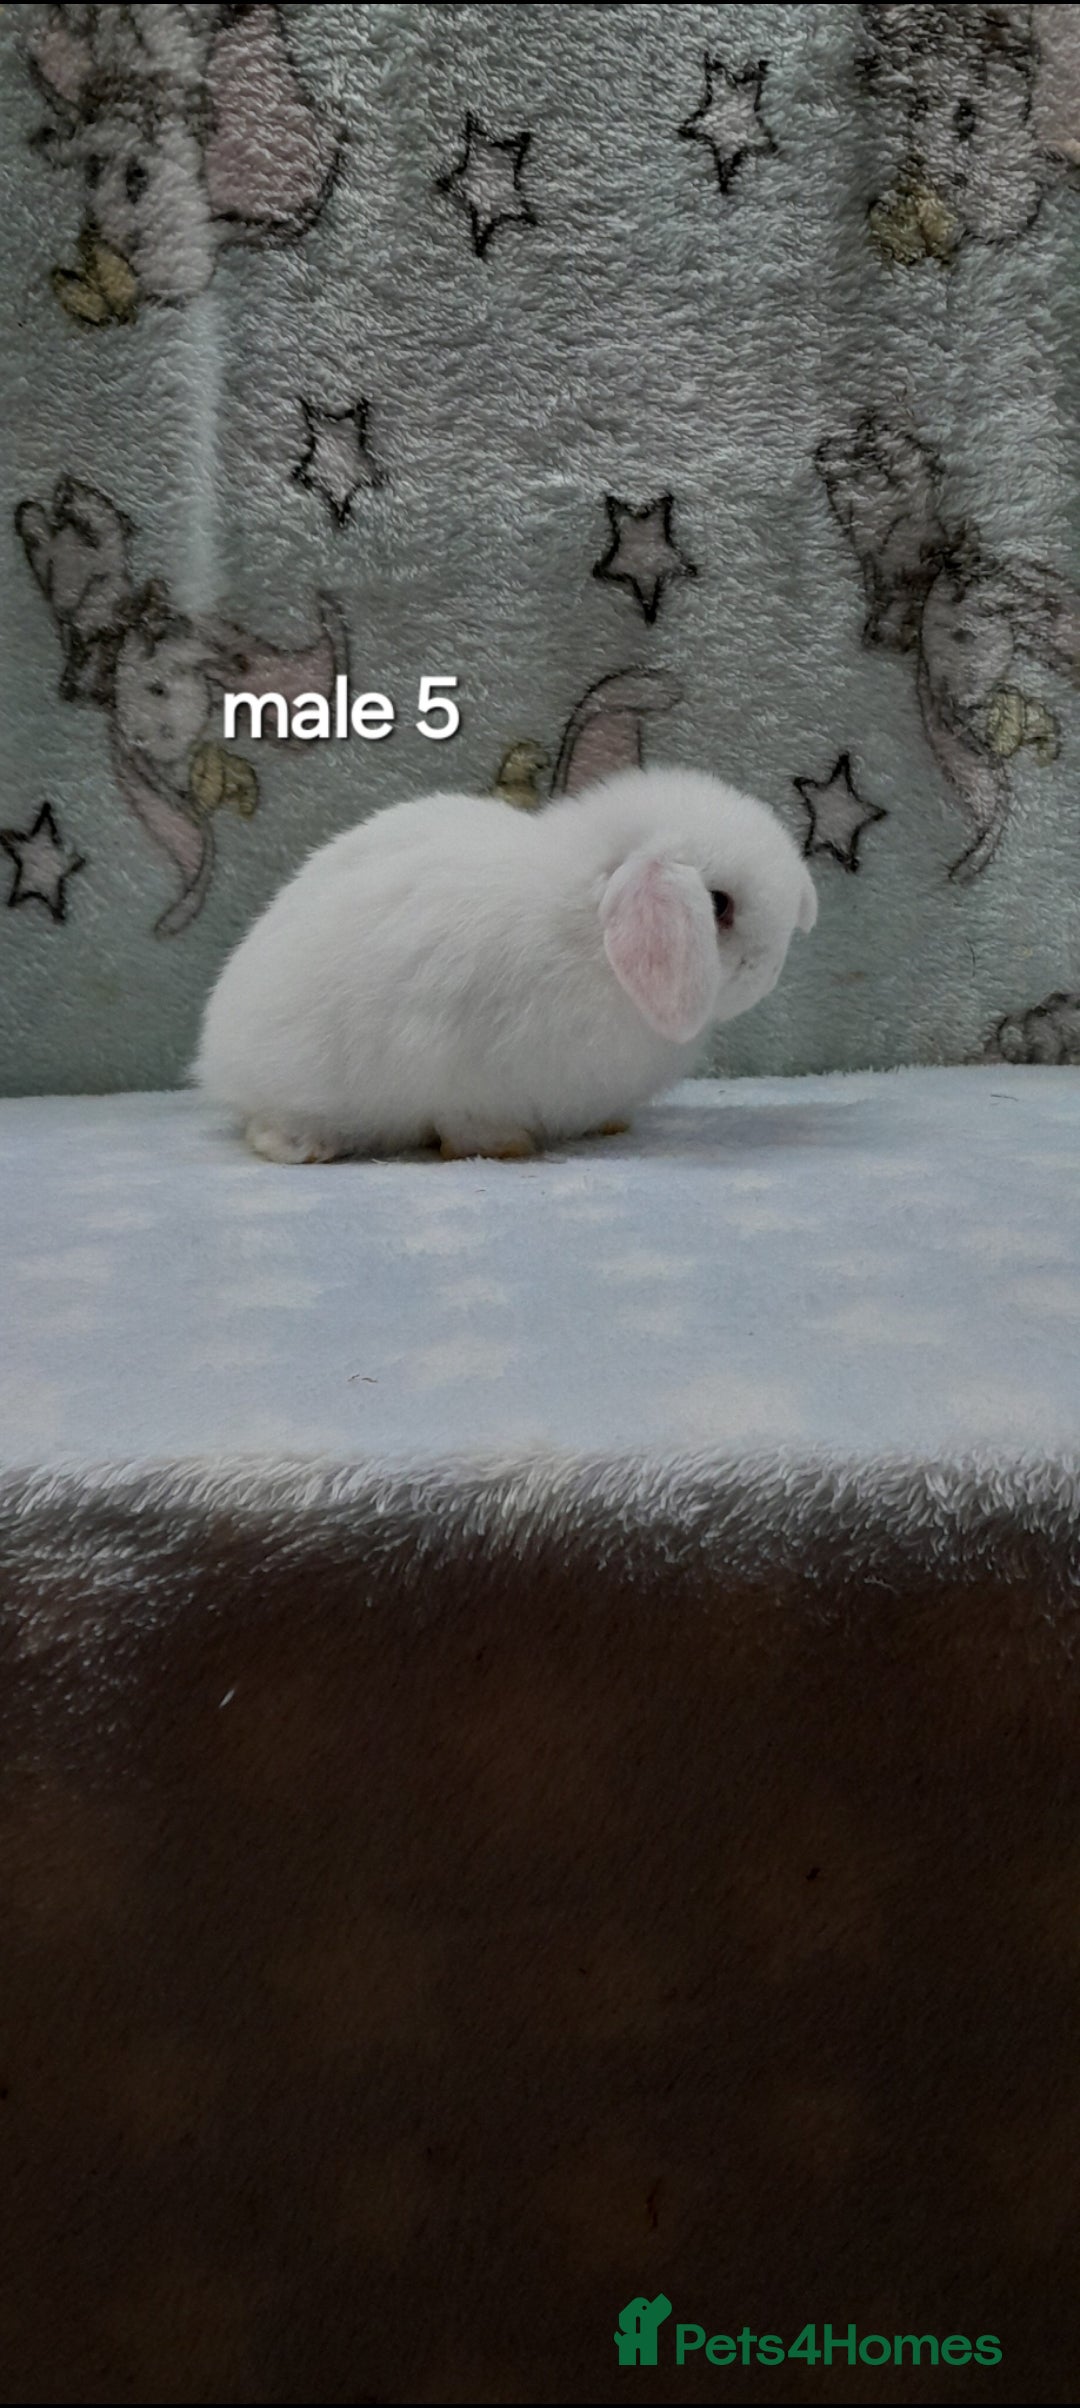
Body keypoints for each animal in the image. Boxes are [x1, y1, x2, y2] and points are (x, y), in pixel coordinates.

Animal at [193, 766, 817, 1162]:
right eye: (719, 905)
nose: (772, 968)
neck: (587, 935)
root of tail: (214, 1053)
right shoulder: (466, 1077)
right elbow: (467, 1126)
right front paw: (508, 1148)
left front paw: (612, 1124)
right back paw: (305, 1148)